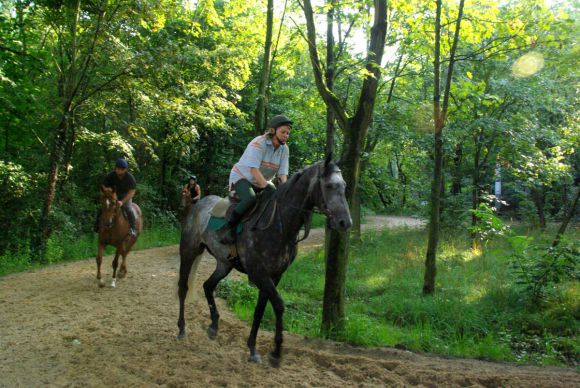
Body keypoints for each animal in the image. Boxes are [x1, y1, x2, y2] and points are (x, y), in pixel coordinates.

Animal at [177, 157, 352, 366]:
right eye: (329, 185)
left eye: (344, 185)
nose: (345, 223)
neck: (279, 225)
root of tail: (198, 205)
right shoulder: (259, 274)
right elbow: (279, 305)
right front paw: (276, 352)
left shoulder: (274, 276)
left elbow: (260, 309)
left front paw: (253, 349)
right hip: (189, 252)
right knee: (183, 287)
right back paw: (181, 329)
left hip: (224, 264)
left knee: (207, 285)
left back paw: (213, 326)